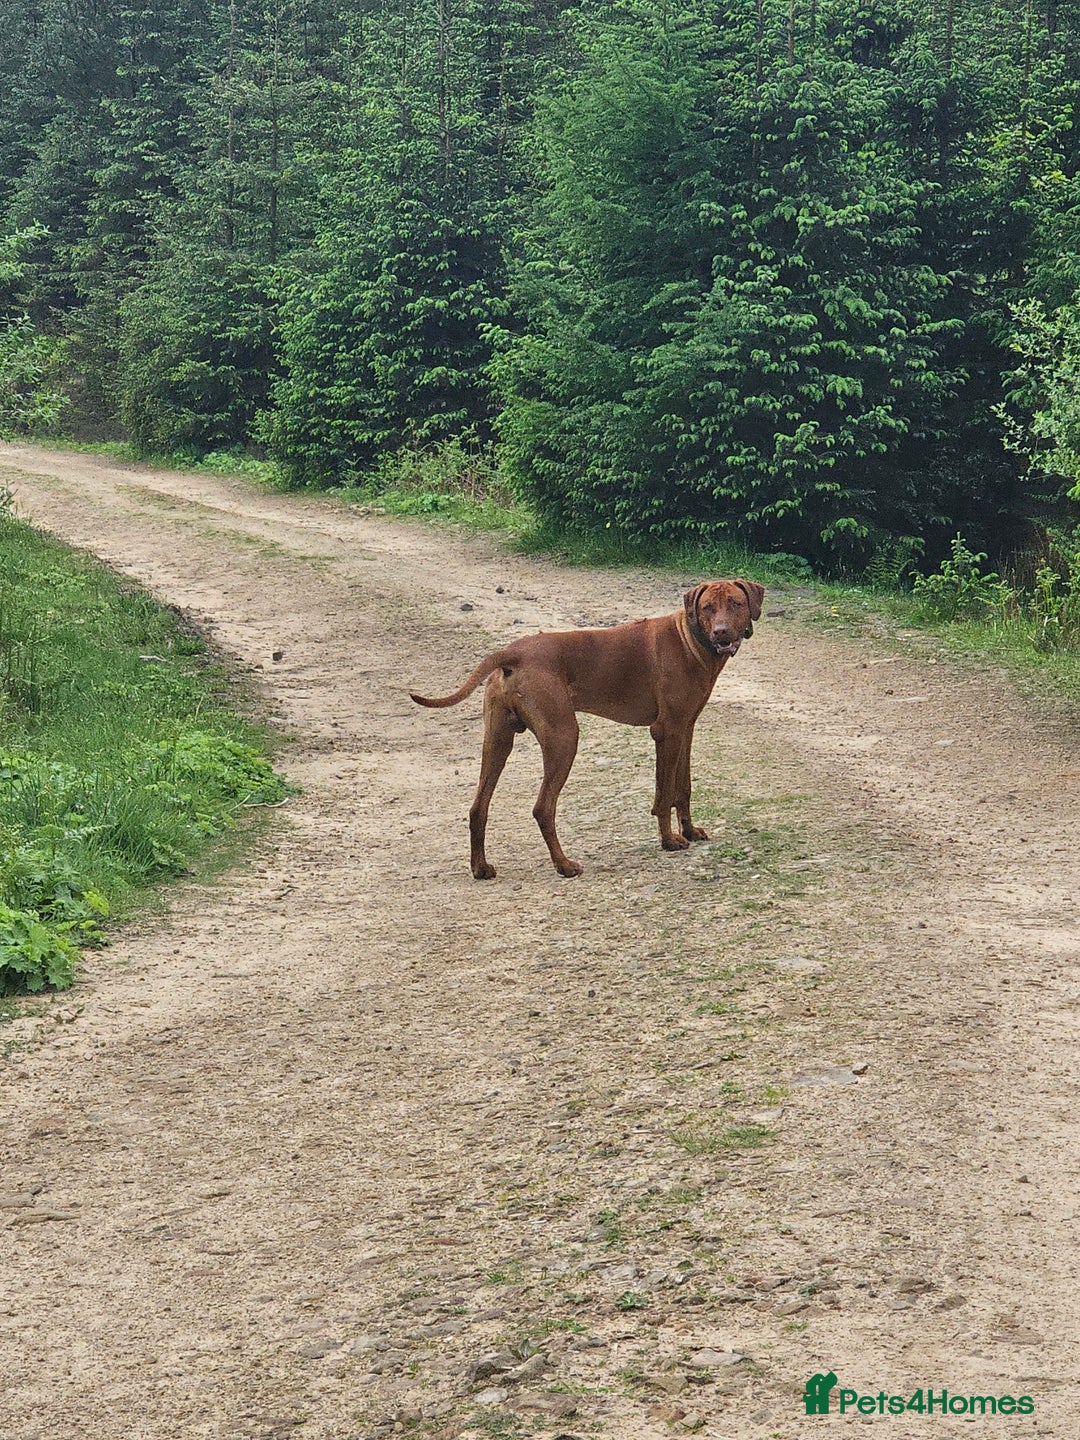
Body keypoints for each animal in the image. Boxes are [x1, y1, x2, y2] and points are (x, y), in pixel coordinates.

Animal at [411, 579, 763, 878]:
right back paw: (564, 865)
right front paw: (669, 840)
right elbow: (664, 794)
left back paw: (481, 867)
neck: (690, 639)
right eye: (708, 607)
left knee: (477, 808)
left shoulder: (686, 728)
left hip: (497, 741)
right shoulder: (666, 730)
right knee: (543, 808)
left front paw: (690, 830)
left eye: (734, 603)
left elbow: (683, 788)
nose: (720, 633)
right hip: (563, 737)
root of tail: (513, 653)